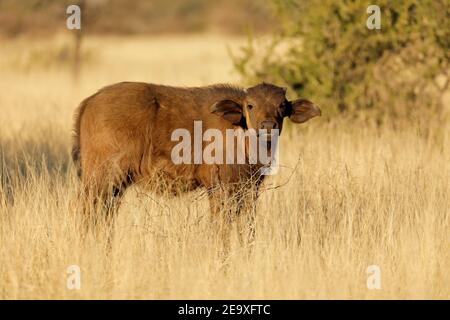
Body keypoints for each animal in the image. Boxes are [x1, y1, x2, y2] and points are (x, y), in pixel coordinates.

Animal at [72, 82, 320, 236]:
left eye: (281, 105)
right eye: (251, 105)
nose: (268, 126)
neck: (240, 132)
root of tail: (89, 102)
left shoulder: (250, 190)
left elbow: (247, 227)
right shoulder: (220, 189)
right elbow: (221, 227)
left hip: (114, 187)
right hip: (101, 181)